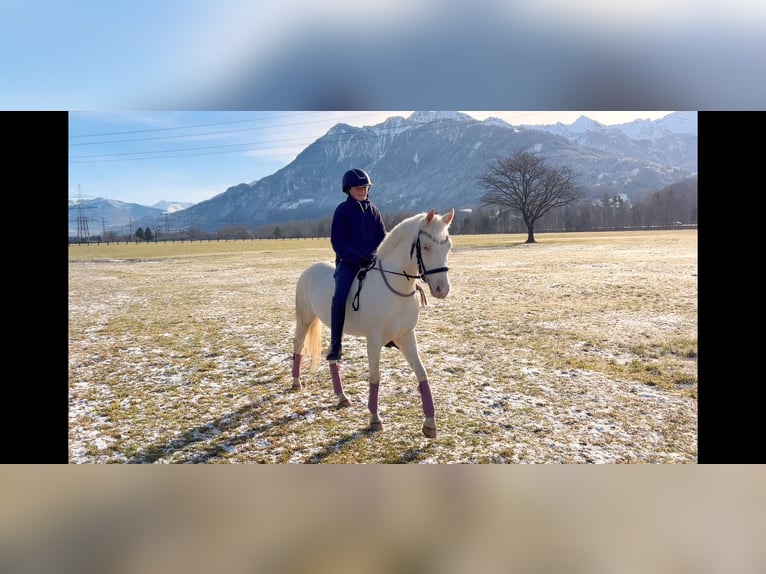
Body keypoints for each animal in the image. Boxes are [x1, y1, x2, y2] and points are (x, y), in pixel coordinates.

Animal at [292, 209, 452, 438]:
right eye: (426, 247)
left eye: (448, 246)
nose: (442, 289)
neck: (396, 288)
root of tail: (309, 270)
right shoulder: (374, 341)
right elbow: (375, 377)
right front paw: (375, 420)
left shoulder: (406, 336)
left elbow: (422, 373)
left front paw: (430, 423)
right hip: (304, 319)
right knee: (297, 346)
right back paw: (296, 383)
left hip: (336, 327)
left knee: (333, 357)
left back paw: (341, 397)